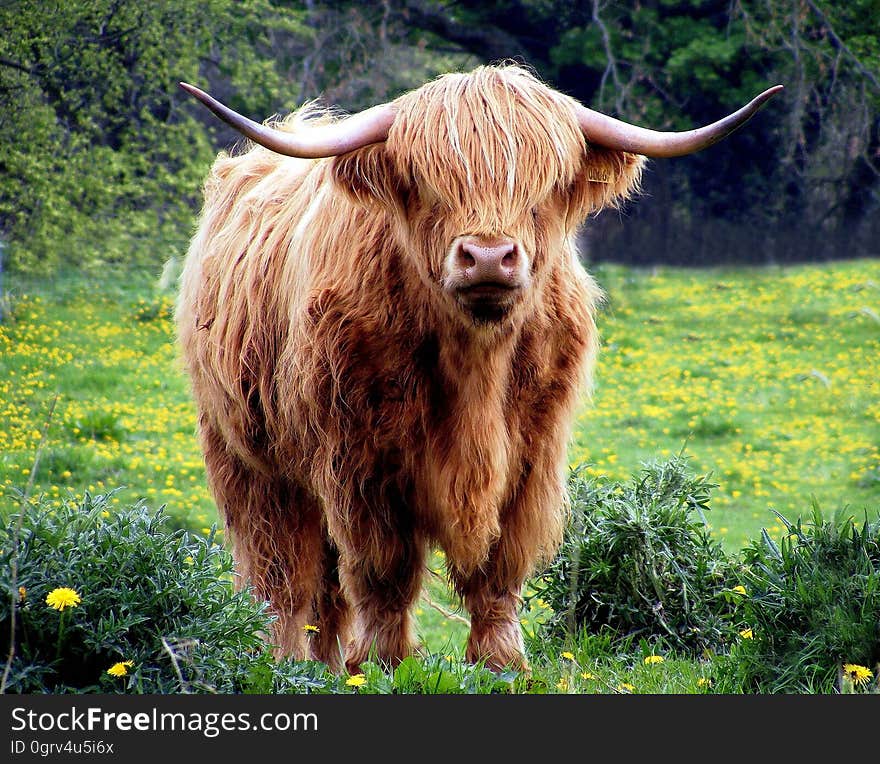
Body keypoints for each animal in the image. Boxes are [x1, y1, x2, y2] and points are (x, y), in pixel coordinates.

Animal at [175, 67, 780, 676]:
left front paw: (501, 661)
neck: (476, 370)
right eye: (428, 183)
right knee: (281, 574)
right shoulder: (359, 461)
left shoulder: (531, 457)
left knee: (323, 587)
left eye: (543, 186)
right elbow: (383, 567)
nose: (488, 257)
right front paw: (383, 663)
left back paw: (323, 661)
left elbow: (499, 566)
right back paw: (284, 661)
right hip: (248, 460)